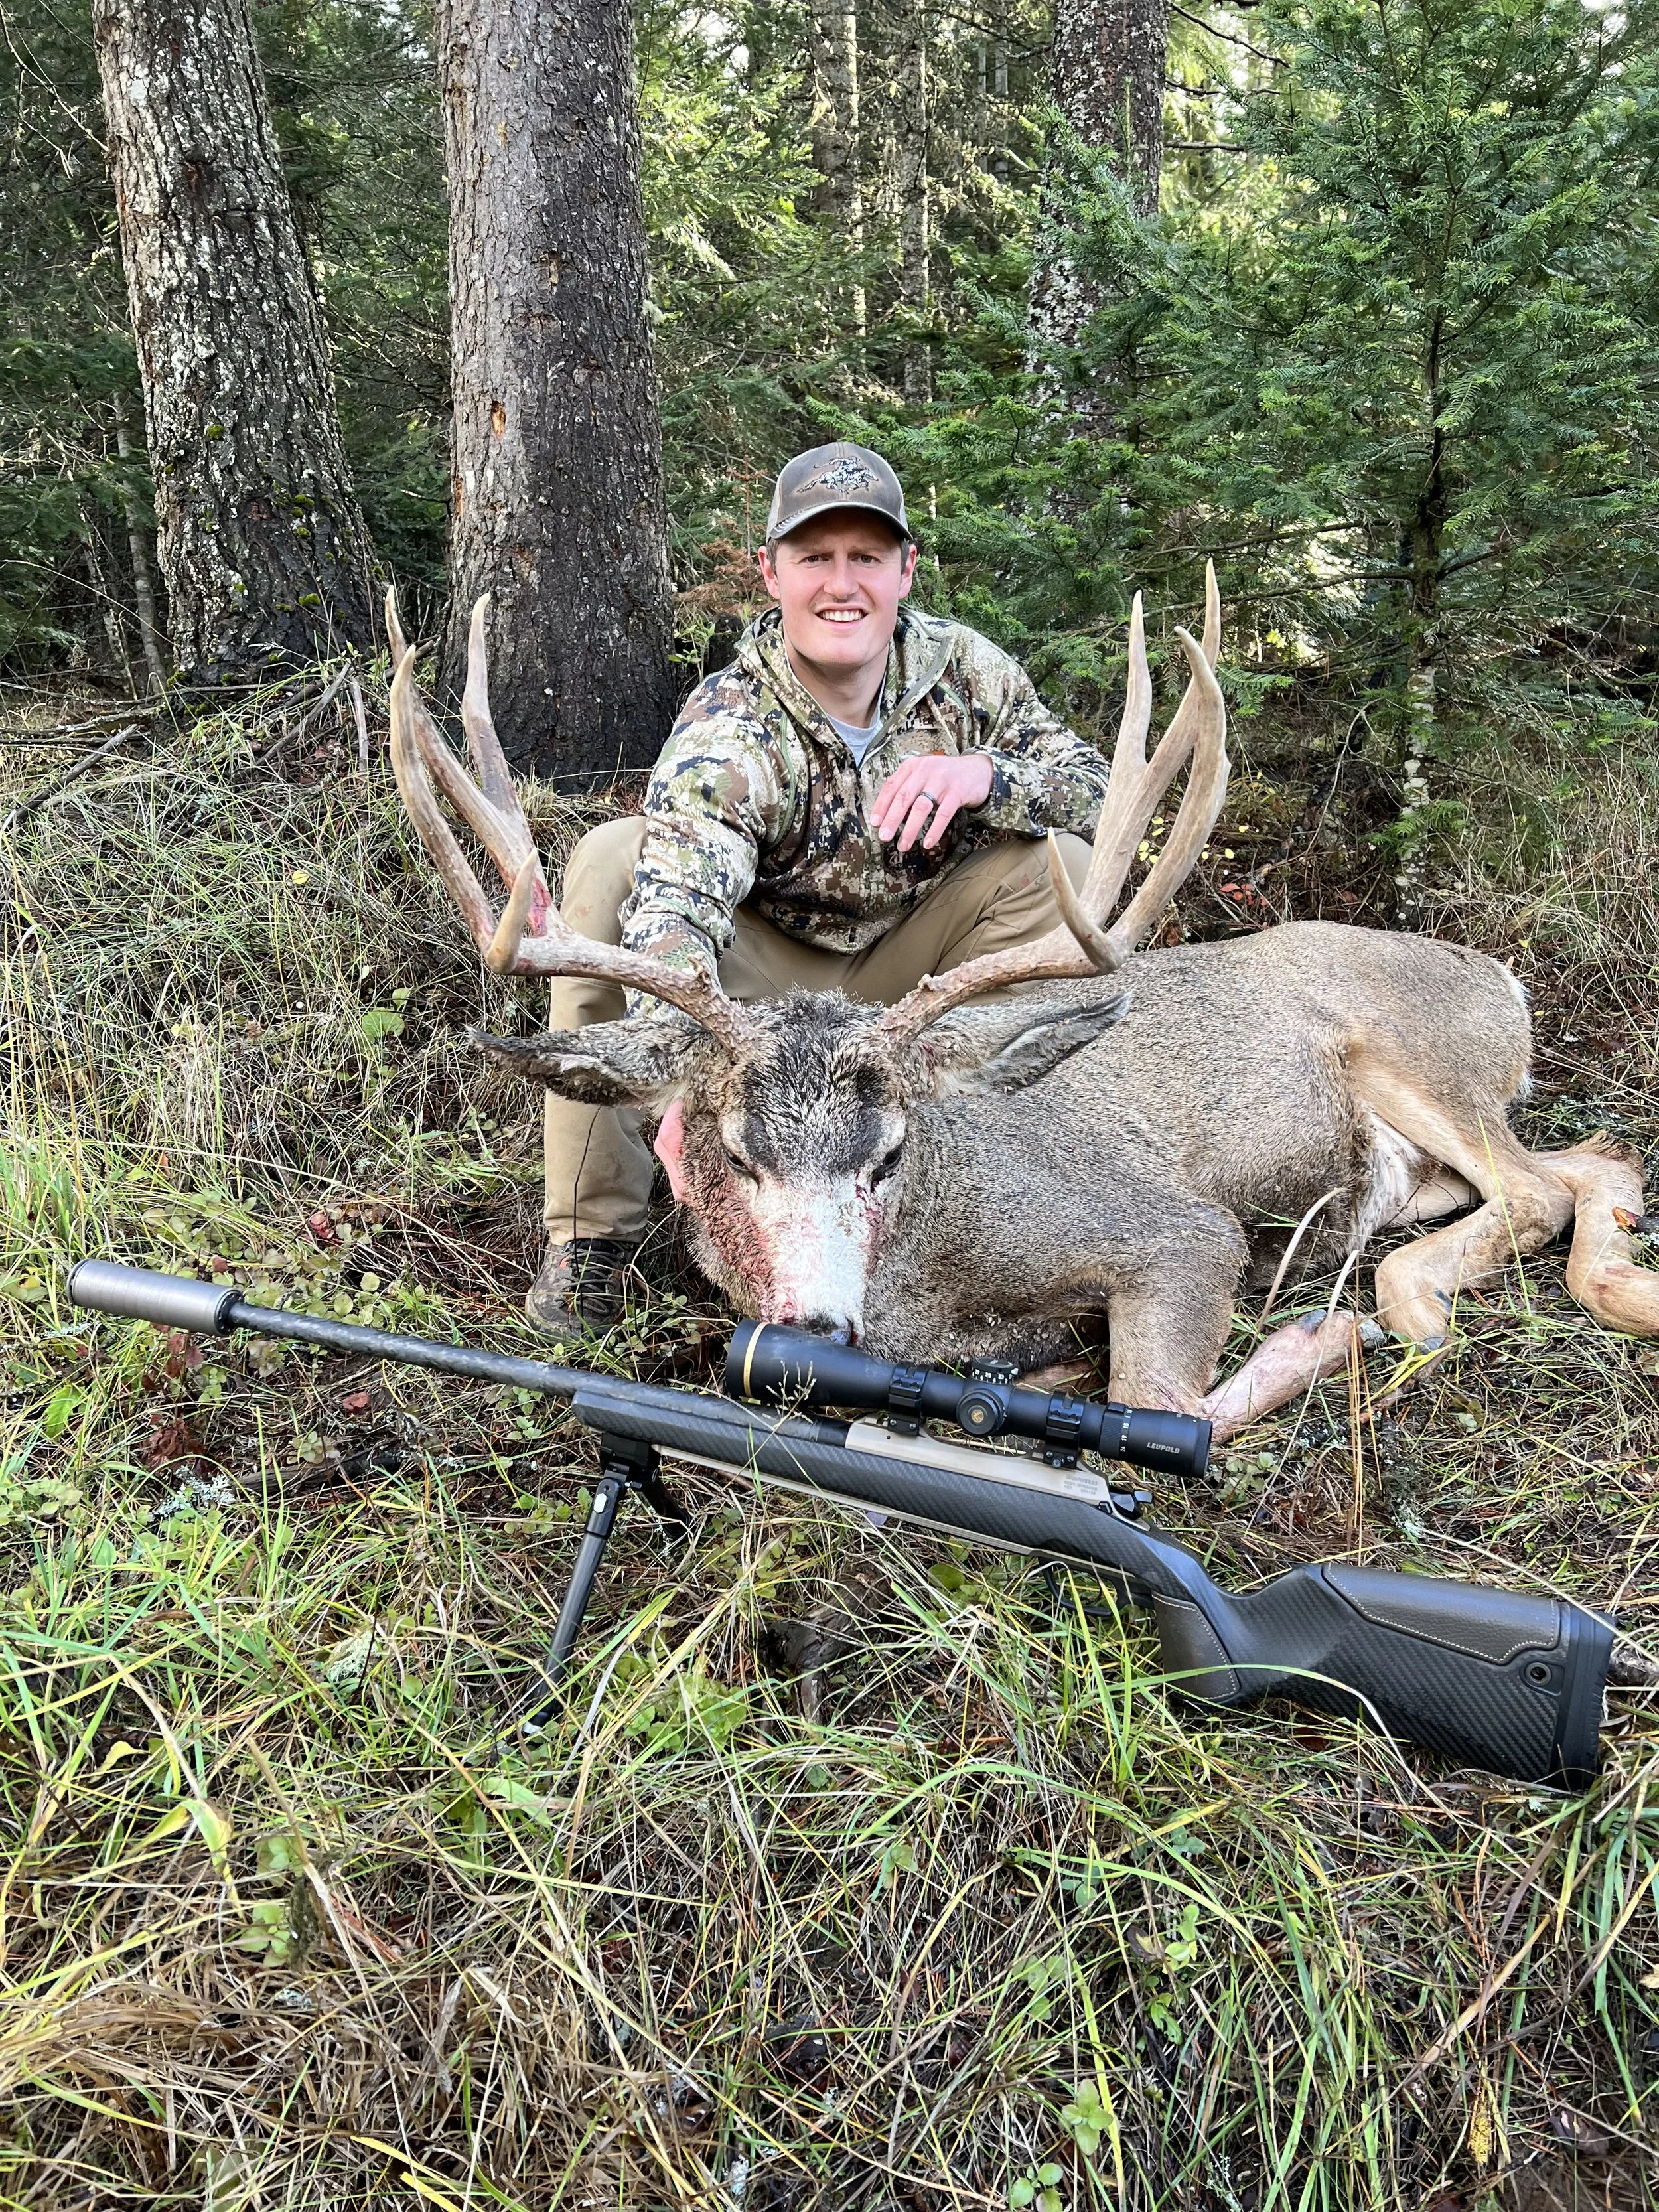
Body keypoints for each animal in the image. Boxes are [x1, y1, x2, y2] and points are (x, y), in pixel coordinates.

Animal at [383, 585, 1659, 1443]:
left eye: (891, 1152)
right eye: (734, 1155)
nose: (817, 1335)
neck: (928, 1279)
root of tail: (1502, 978)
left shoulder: (1179, 1229)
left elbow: (1157, 1404)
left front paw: (1319, 1335)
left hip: (1414, 1051)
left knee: (1535, 1184)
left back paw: (1415, 1306)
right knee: (1587, 1161)